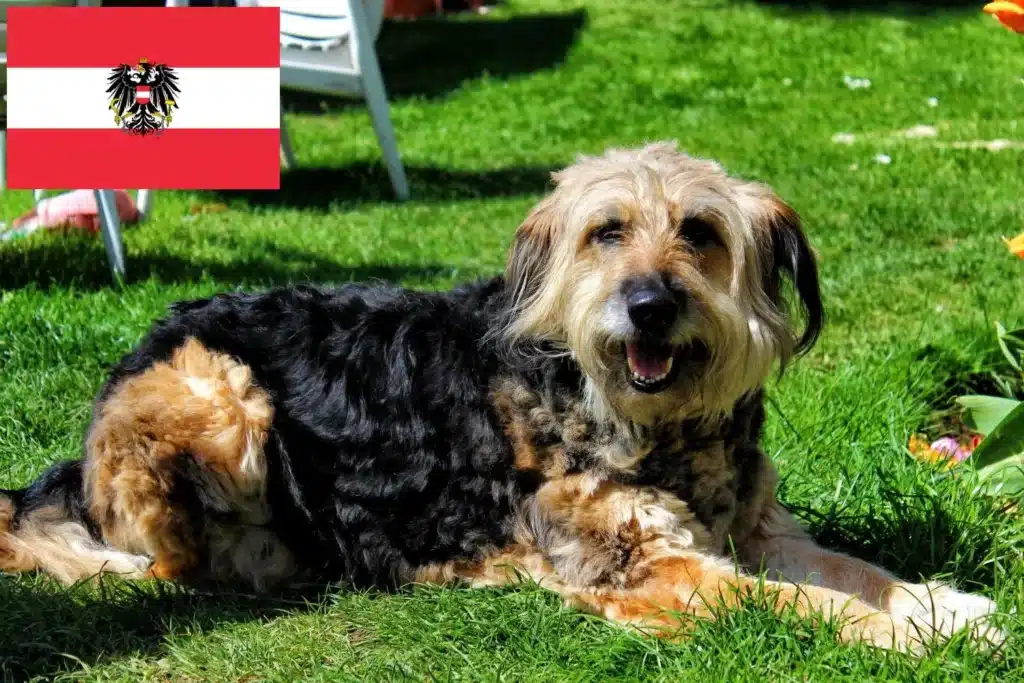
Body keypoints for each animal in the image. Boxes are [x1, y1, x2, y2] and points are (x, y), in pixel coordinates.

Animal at [0, 143, 1003, 651]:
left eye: (701, 232)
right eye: (607, 232)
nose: (650, 304)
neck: (660, 427)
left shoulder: (762, 531)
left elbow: (855, 569)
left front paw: (941, 605)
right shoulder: (648, 568)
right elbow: (802, 604)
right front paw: (908, 636)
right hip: (218, 388)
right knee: (172, 564)